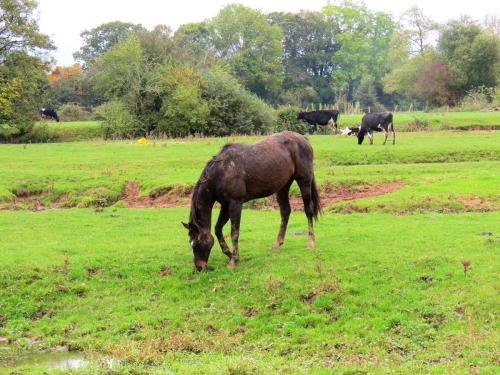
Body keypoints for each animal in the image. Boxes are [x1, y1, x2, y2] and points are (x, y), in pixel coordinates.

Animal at [183, 131, 320, 270]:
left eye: (196, 244)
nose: (199, 267)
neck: (222, 171)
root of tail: (303, 139)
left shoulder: (235, 203)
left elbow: (234, 232)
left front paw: (233, 260)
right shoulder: (226, 206)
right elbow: (217, 229)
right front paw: (230, 253)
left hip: (304, 181)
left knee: (308, 210)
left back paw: (310, 242)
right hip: (283, 186)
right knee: (285, 211)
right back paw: (277, 243)